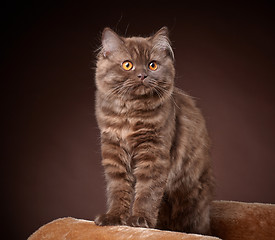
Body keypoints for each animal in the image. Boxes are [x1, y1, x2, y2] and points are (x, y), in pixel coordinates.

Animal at [95, 26, 216, 234]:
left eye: (152, 65)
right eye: (127, 65)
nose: (143, 75)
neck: (130, 114)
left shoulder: (154, 154)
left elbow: (147, 192)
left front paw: (140, 220)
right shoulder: (114, 153)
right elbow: (118, 190)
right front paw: (114, 218)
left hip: (192, 199)